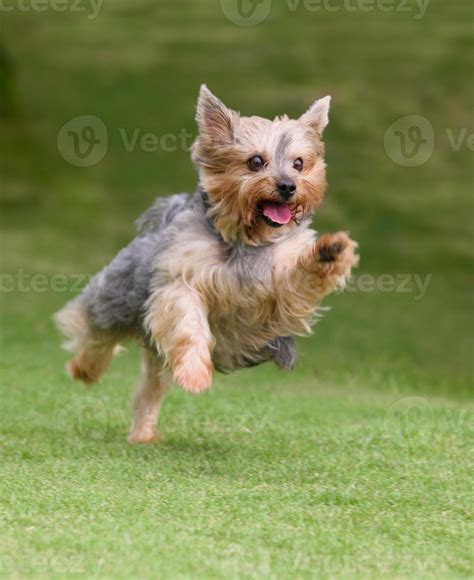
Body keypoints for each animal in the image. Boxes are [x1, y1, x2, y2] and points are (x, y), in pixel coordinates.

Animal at [54, 84, 360, 442]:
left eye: (299, 163)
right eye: (256, 161)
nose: (288, 186)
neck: (244, 239)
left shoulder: (279, 293)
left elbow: (299, 279)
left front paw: (331, 252)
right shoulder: (180, 282)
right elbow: (189, 324)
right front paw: (194, 374)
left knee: (149, 387)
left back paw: (143, 434)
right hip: (118, 298)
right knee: (95, 333)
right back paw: (84, 369)